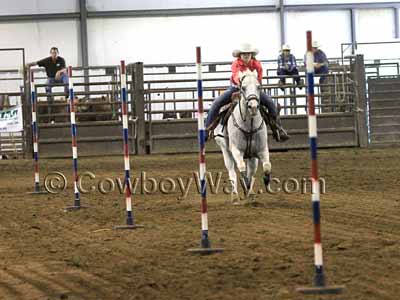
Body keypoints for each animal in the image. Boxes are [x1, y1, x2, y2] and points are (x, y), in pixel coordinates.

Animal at [216, 69, 272, 203]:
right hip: (225, 150)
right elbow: (241, 168)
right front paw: (245, 186)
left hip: (252, 157)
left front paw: (266, 181)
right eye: (243, 88)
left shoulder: (262, 150)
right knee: (232, 171)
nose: (253, 107)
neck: (249, 126)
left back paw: (250, 192)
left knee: (251, 170)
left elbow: (267, 166)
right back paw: (235, 195)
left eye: (259, 87)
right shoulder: (236, 150)